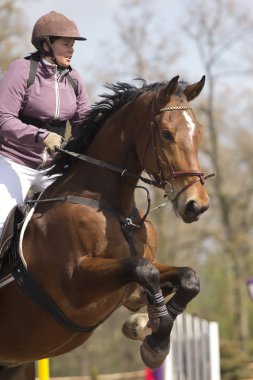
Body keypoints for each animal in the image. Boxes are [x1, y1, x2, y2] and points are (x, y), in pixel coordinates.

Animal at [0, 74, 213, 378]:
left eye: (199, 133)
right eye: (166, 134)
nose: (197, 205)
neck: (113, 208)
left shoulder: (131, 289)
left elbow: (187, 278)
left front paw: (144, 328)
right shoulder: (75, 286)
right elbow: (144, 270)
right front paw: (153, 339)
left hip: (16, 365)